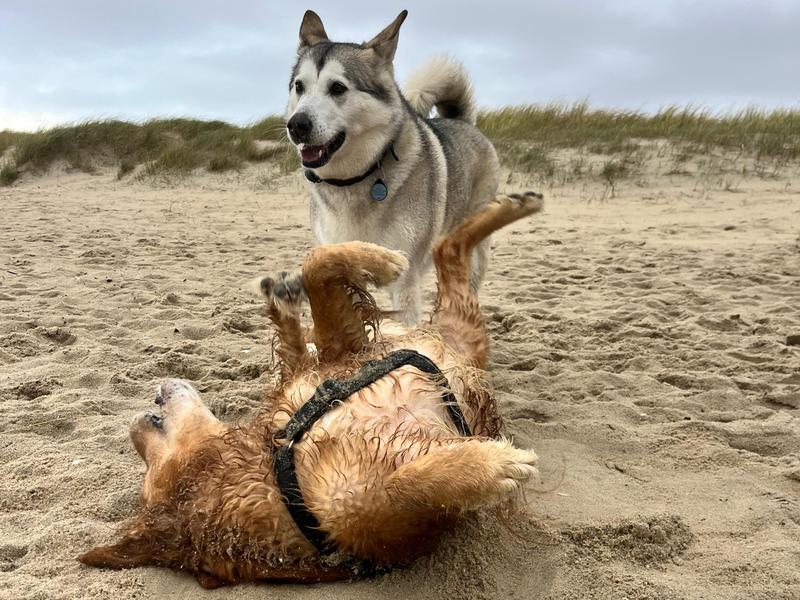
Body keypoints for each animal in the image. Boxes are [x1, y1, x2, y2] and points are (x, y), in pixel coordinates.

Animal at [78, 193, 544, 592]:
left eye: (145, 457)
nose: (139, 417)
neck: (271, 464)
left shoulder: (342, 355)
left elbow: (317, 266)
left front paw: (376, 260)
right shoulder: (386, 526)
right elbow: (406, 485)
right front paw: (491, 464)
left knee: (442, 248)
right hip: (465, 327)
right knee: (447, 250)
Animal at [284, 9, 500, 324]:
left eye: (337, 88)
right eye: (299, 86)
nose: (296, 125)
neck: (355, 179)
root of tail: (463, 122)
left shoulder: (404, 280)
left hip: (472, 249)